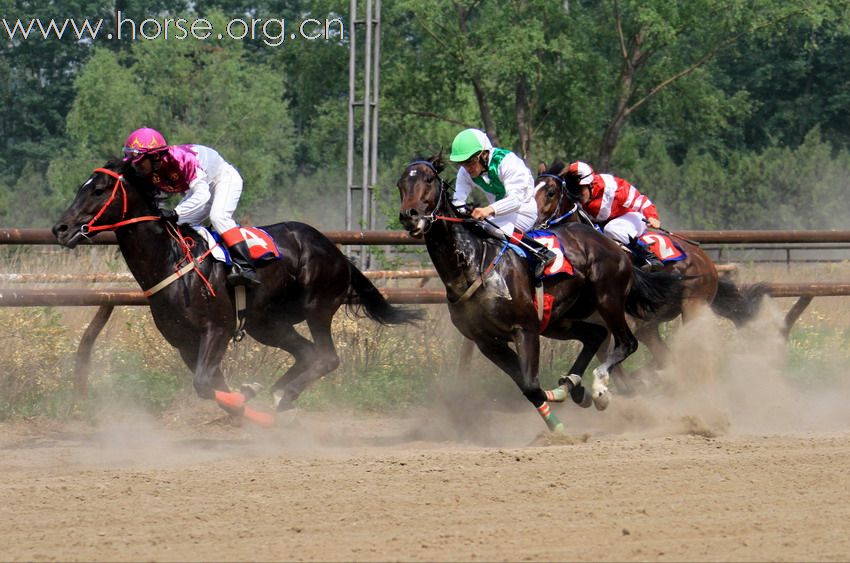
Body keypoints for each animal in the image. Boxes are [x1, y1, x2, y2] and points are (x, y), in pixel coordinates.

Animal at [52, 159, 420, 424]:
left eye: (99, 190)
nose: (60, 228)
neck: (171, 260)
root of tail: (336, 251)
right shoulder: (184, 343)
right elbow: (213, 388)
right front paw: (246, 401)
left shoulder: (217, 329)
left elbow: (204, 384)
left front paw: (250, 394)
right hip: (267, 324)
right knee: (307, 353)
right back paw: (282, 394)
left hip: (317, 306)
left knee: (326, 357)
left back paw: (283, 395)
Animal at [398, 154, 684, 432]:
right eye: (401, 184)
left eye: (428, 179)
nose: (409, 215)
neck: (474, 263)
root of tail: (613, 245)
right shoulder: (487, 342)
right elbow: (529, 388)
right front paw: (560, 411)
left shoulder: (524, 329)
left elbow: (531, 385)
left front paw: (563, 416)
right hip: (559, 319)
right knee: (595, 335)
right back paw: (573, 386)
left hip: (608, 301)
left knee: (626, 343)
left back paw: (599, 390)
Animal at [536, 159, 768, 378]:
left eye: (550, 192)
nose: (535, 223)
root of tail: (705, 260)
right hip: (651, 326)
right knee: (668, 356)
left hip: (693, 307)